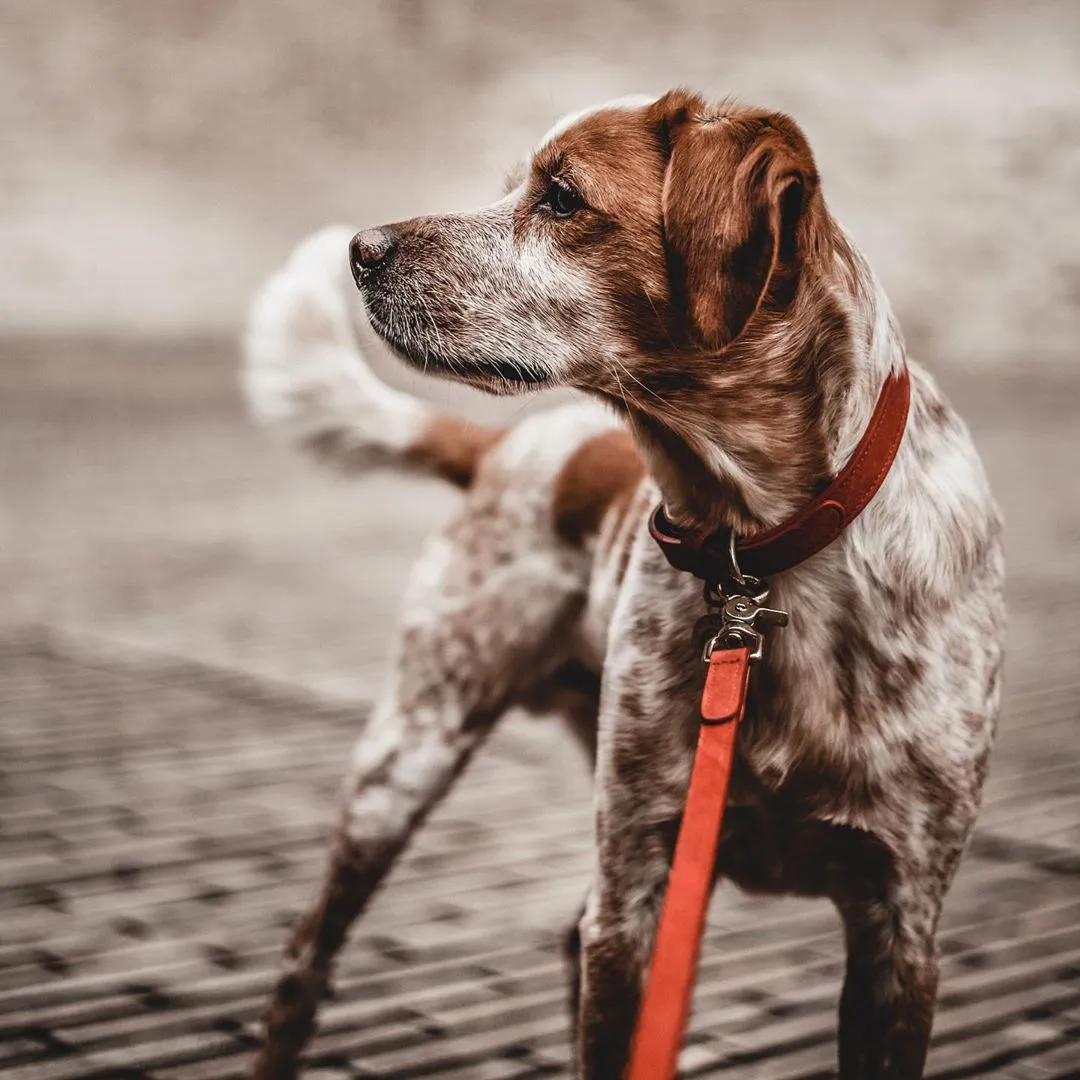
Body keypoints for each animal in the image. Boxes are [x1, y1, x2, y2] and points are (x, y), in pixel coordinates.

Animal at [243, 92, 1002, 1080]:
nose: (362, 248)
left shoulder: (902, 926)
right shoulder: (637, 885)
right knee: (305, 958)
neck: (762, 559)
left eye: (561, 197)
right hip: (406, 756)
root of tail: (506, 447)